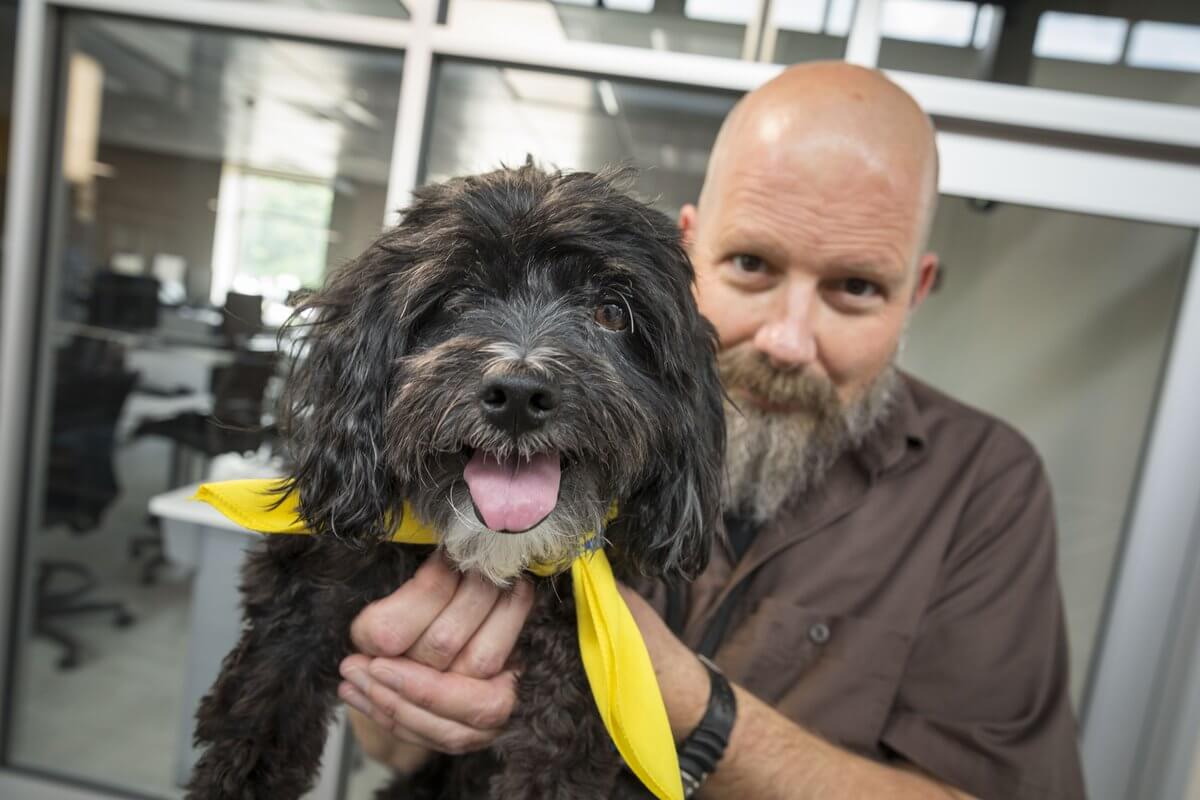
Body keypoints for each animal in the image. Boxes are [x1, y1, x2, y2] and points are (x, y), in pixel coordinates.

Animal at [184, 164, 720, 800]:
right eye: (457, 296)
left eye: (612, 312)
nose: (519, 394)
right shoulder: (302, 604)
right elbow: (256, 721)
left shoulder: (577, 686)